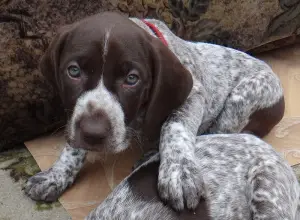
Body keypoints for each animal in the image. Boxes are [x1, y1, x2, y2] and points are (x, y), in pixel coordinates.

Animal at [24, 11, 284, 211]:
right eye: (74, 71)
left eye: (132, 79)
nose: (93, 134)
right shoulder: (77, 114)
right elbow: (73, 144)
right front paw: (57, 175)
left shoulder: (193, 95)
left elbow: (174, 126)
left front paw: (179, 172)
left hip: (242, 101)